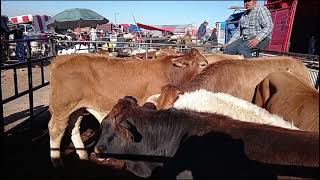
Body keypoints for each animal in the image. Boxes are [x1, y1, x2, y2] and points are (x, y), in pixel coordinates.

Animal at [47, 48, 208, 167]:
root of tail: (61, 59)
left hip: (77, 107)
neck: (170, 72)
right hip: (62, 106)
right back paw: (57, 161)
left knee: (73, 127)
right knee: (55, 129)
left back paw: (83, 155)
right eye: (203, 64)